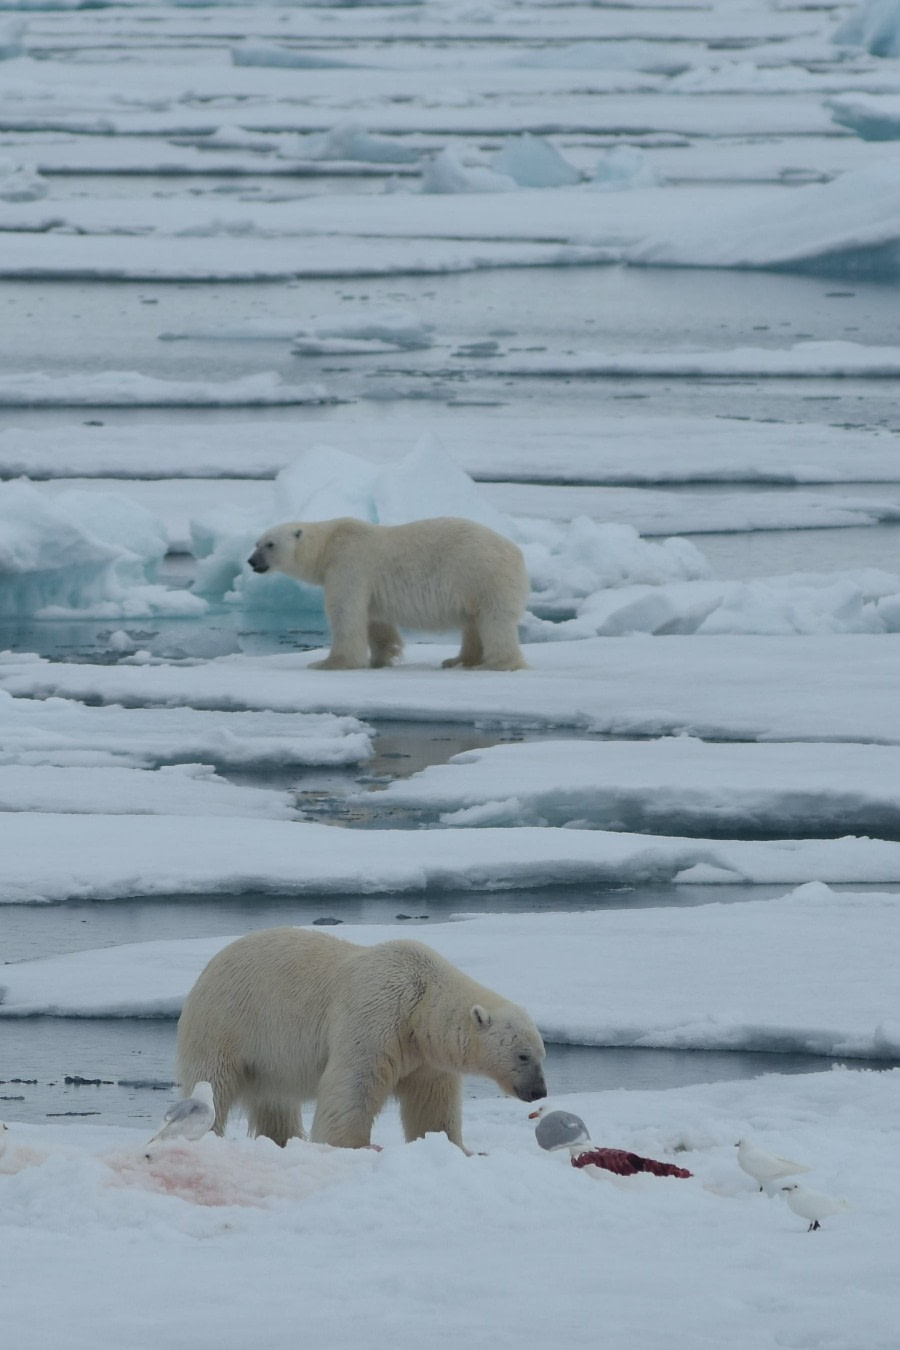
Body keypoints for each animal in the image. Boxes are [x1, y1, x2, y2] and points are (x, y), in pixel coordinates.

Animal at [172, 928, 545, 1150]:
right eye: (523, 1055)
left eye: (541, 1055)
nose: (539, 1091)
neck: (421, 1000)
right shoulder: (377, 1017)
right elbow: (354, 1085)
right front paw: (358, 1145)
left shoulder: (425, 1054)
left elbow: (432, 1101)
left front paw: (459, 1147)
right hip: (226, 1024)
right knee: (214, 1083)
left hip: (267, 1059)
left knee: (275, 1102)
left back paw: (286, 1140)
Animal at [246, 510, 528, 669]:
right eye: (256, 543)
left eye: (270, 544)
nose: (251, 561)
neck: (328, 543)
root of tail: (516, 553)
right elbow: (375, 619)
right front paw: (381, 658)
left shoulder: (349, 562)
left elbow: (344, 611)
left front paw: (328, 662)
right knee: (473, 622)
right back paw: (458, 660)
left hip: (482, 574)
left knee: (494, 620)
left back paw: (497, 664)